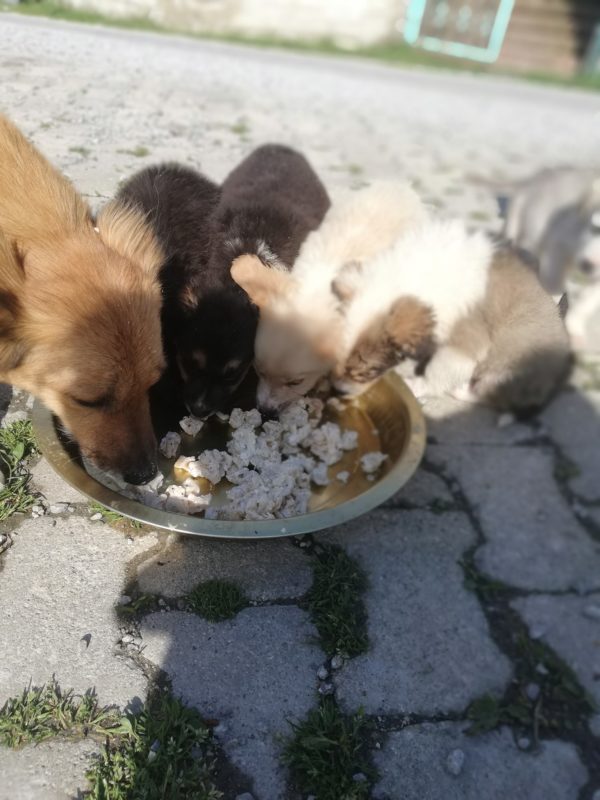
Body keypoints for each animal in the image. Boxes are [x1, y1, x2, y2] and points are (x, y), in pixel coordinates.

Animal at [336, 222, 568, 416]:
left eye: (369, 371)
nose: (337, 391)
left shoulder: (462, 346)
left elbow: (437, 371)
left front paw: (415, 385)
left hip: (502, 367)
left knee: (492, 396)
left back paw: (461, 391)